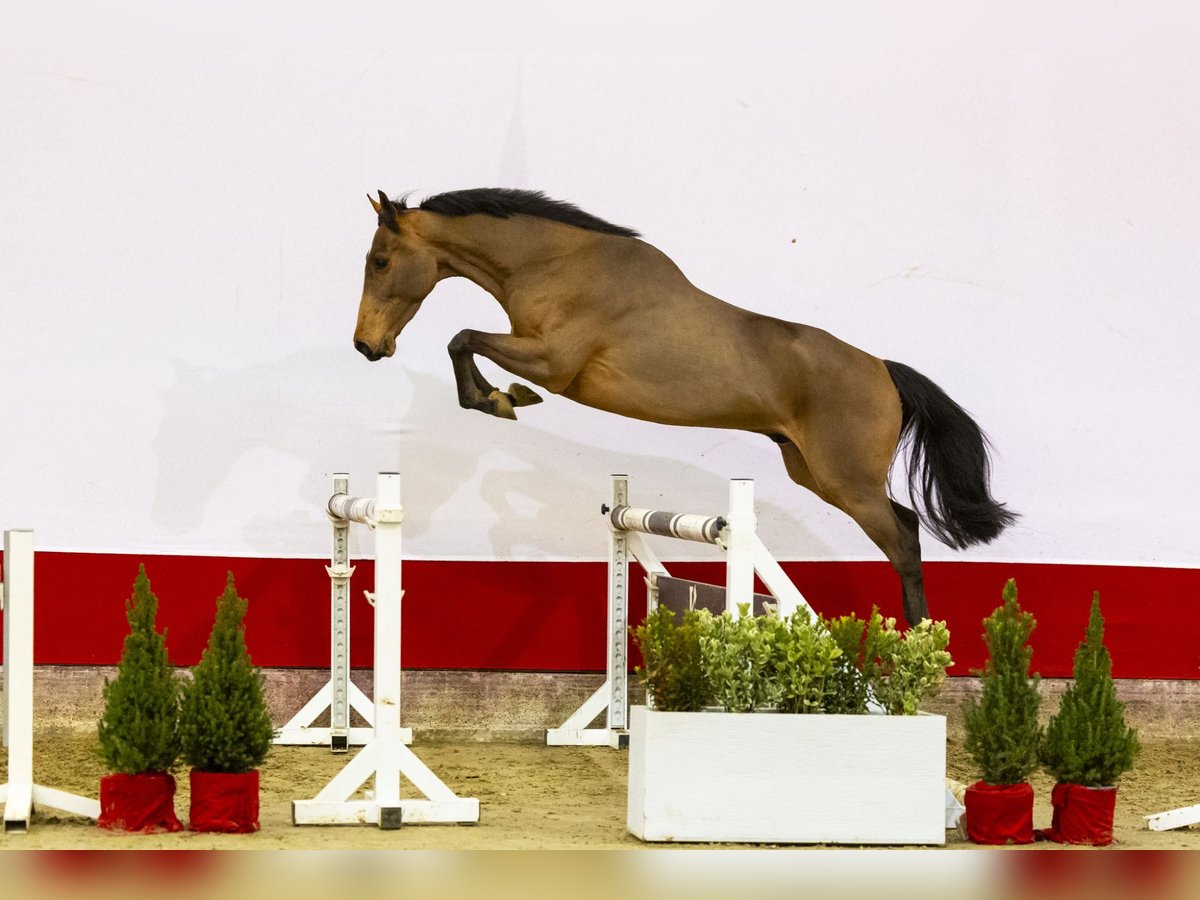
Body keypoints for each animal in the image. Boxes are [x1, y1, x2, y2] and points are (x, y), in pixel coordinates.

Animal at [350, 188, 1017, 628]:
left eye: (380, 261)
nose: (366, 346)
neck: (556, 264)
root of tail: (882, 369)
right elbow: (464, 343)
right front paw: (500, 399)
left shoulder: (553, 363)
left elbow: (463, 338)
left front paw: (501, 399)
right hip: (812, 471)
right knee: (906, 527)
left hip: (846, 481)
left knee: (903, 539)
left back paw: (917, 644)